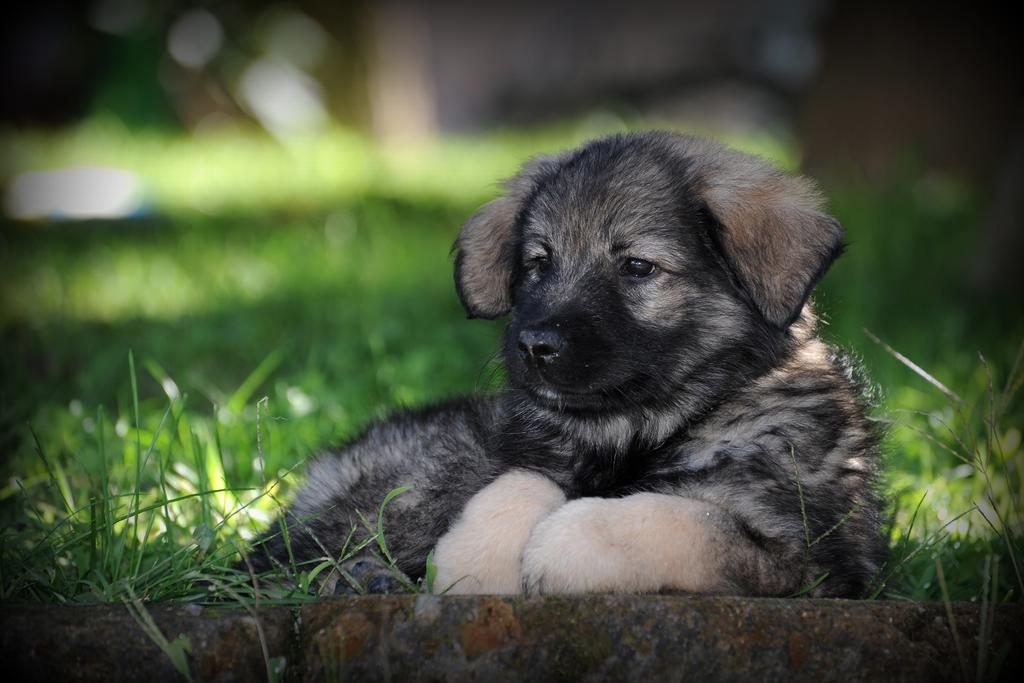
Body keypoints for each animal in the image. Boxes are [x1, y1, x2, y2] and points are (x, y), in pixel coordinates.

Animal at [249, 132, 888, 598]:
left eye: (637, 267)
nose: (534, 345)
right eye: (538, 263)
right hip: (425, 477)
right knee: (284, 556)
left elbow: (680, 521)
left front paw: (557, 547)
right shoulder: (526, 452)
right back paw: (360, 577)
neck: (641, 428)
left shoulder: (807, 559)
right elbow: (521, 481)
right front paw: (476, 563)